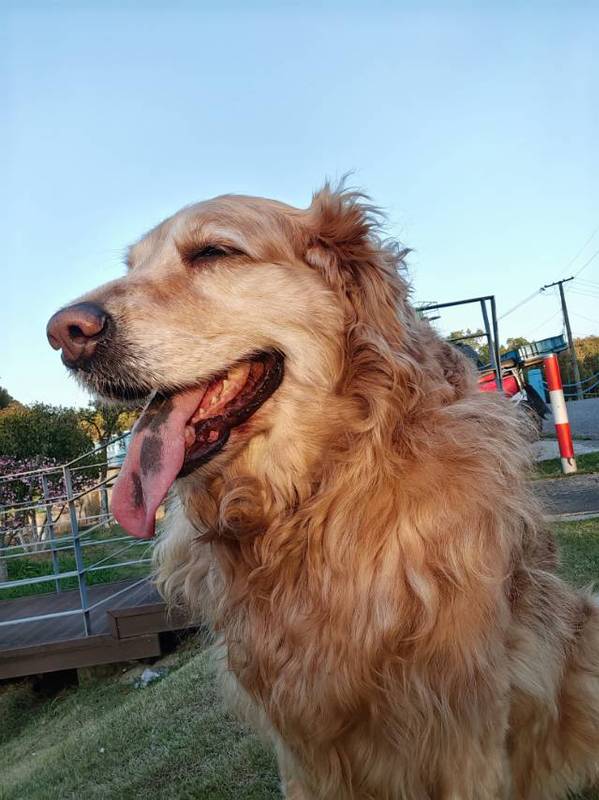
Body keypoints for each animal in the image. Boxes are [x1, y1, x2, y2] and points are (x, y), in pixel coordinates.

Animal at [47, 185, 599, 799]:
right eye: (133, 266)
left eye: (214, 251)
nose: (63, 332)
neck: (312, 498)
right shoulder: (303, 747)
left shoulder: (466, 732)